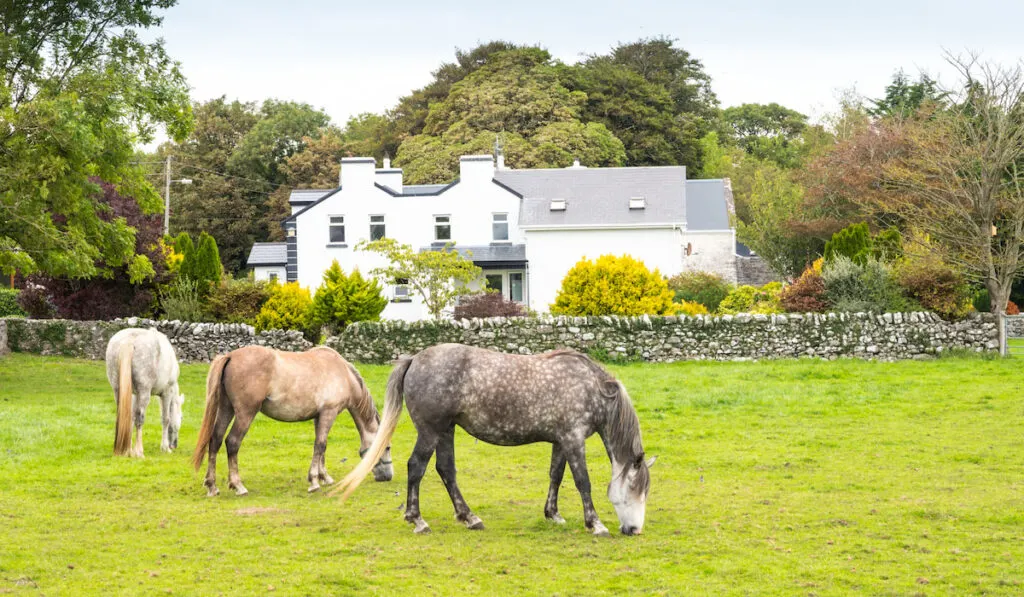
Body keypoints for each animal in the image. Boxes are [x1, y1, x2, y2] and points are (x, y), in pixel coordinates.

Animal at [190, 344, 393, 497]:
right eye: (387, 447)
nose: (388, 476)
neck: (343, 373)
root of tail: (230, 356)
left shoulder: (319, 417)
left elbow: (322, 447)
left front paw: (324, 477)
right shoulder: (329, 413)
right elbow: (320, 445)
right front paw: (314, 481)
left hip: (227, 409)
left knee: (215, 440)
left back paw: (212, 486)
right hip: (245, 413)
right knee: (232, 442)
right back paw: (238, 485)